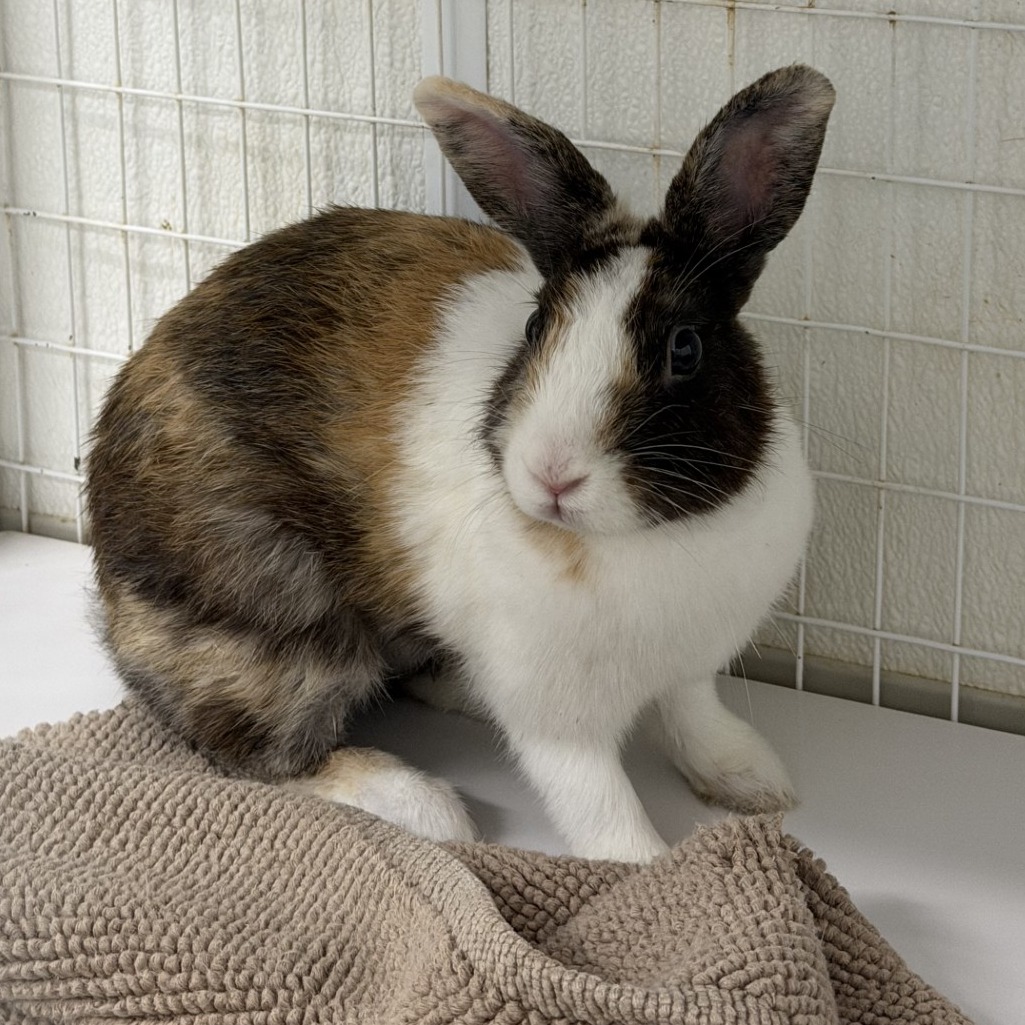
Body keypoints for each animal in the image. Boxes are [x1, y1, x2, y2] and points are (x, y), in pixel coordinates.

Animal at [86, 64, 834, 863]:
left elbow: (695, 720)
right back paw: (422, 806)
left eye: (684, 349)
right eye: (536, 329)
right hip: (272, 627)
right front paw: (653, 866)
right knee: (256, 752)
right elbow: (598, 804)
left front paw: (754, 782)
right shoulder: (554, 715)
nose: (552, 476)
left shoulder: (690, 668)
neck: (634, 541)